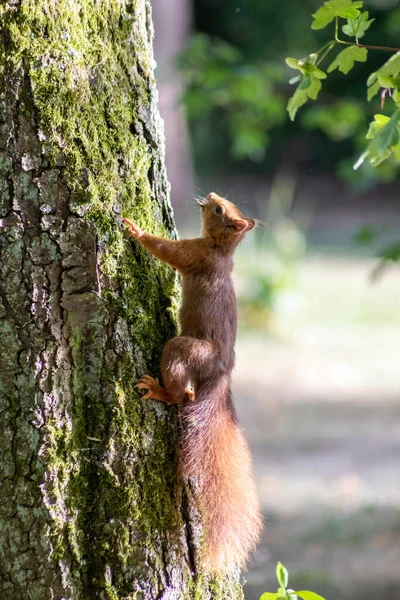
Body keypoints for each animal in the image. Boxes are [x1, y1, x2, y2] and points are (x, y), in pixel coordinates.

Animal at [124, 192, 262, 572]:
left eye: (219, 209)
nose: (212, 195)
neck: (220, 249)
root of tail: (221, 374)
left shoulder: (193, 253)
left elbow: (167, 251)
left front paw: (135, 230)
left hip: (185, 349)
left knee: (183, 393)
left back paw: (159, 390)